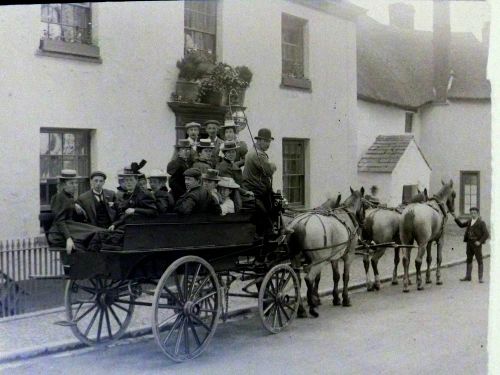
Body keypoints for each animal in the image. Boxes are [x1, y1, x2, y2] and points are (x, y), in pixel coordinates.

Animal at [288, 187, 366, 318]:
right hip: (318, 261)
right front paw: (345, 299)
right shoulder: (349, 255)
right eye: (365, 205)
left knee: (297, 280)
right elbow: (345, 276)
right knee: (309, 279)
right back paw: (312, 308)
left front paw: (336, 298)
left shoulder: (334, 256)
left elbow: (336, 276)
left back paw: (302, 309)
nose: (364, 222)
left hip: (297, 260)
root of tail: (301, 223)